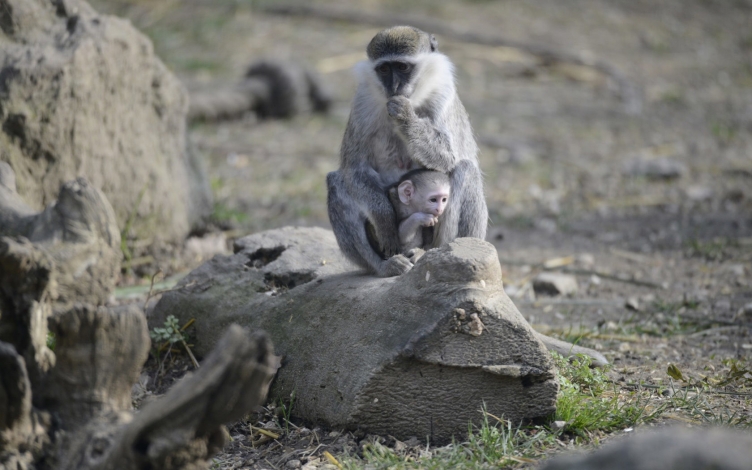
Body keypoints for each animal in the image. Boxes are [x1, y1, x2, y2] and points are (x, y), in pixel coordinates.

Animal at [327, 25, 488, 277]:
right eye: (384, 69)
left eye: (402, 67)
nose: (393, 88)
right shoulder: (363, 101)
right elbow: (354, 169)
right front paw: (384, 219)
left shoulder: (442, 93)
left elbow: (449, 156)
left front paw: (405, 116)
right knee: (336, 181)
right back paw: (385, 266)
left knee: (465, 168)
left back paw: (430, 253)